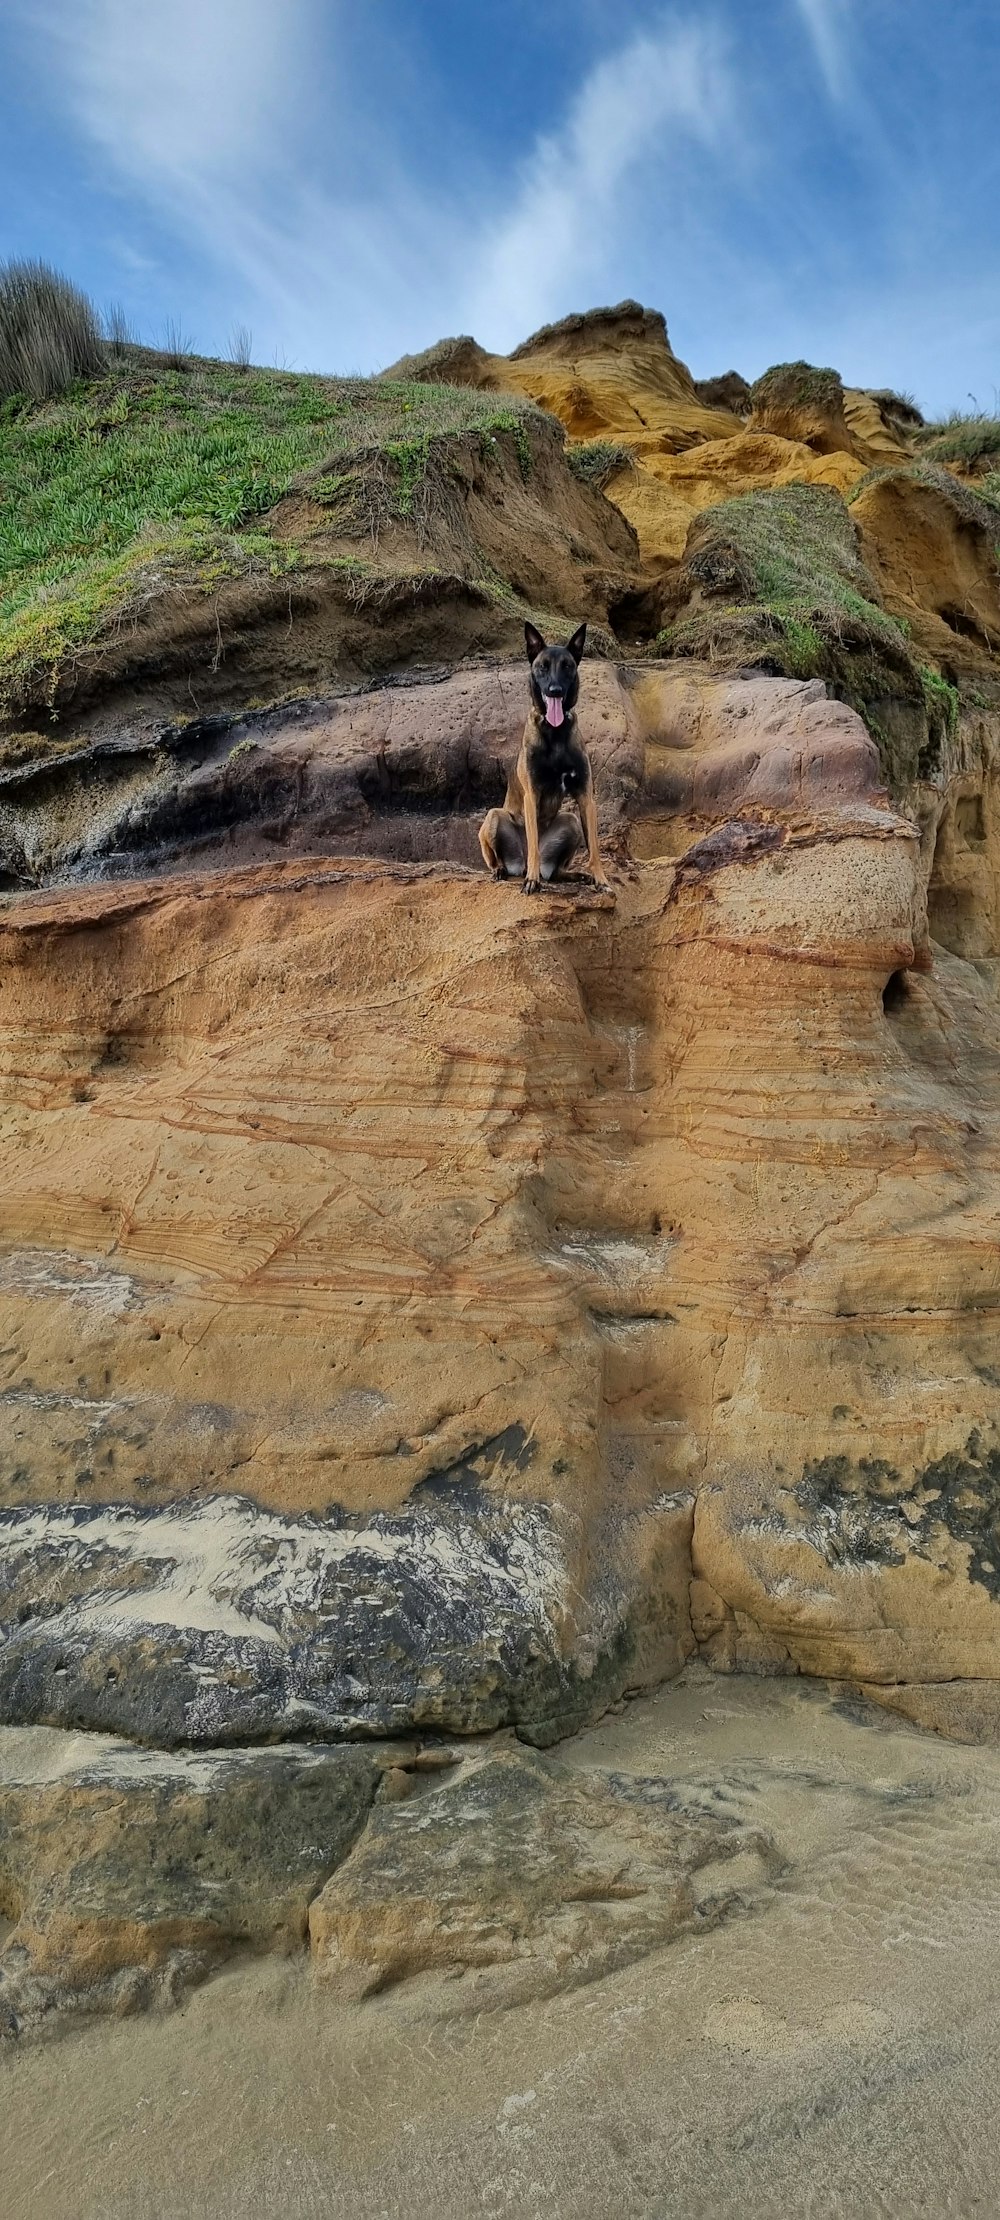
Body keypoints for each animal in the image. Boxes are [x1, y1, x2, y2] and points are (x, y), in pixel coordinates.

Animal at [475, 617, 608, 892]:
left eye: (567, 666)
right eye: (542, 667)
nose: (555, 690)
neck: (555, 733)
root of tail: (518, 865)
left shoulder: (585, 796)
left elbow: (594, 848)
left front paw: (601, 879)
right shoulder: (532, 794)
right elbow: (534, 842)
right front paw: (532, 881)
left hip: (570, 821)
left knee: (557, 871)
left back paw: (571, 875)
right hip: (493, 817)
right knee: (502, 857)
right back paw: (506, 871)